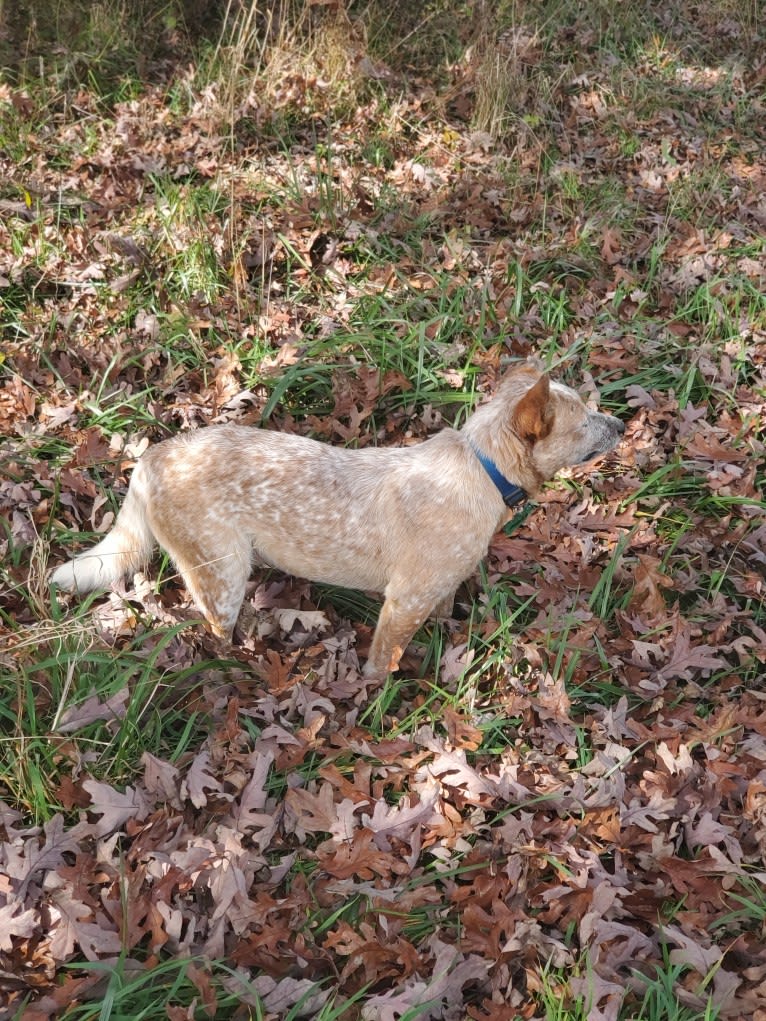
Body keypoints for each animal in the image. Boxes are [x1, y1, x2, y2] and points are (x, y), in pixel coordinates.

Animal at [51, 363, 625, 682]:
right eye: (584, 422)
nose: (622, 423)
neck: (482, 469)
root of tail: (152, 457)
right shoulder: (405, 600)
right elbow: (382, 659)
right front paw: (376, 693)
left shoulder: (438, 588)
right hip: (221, 575)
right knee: (216, 630)